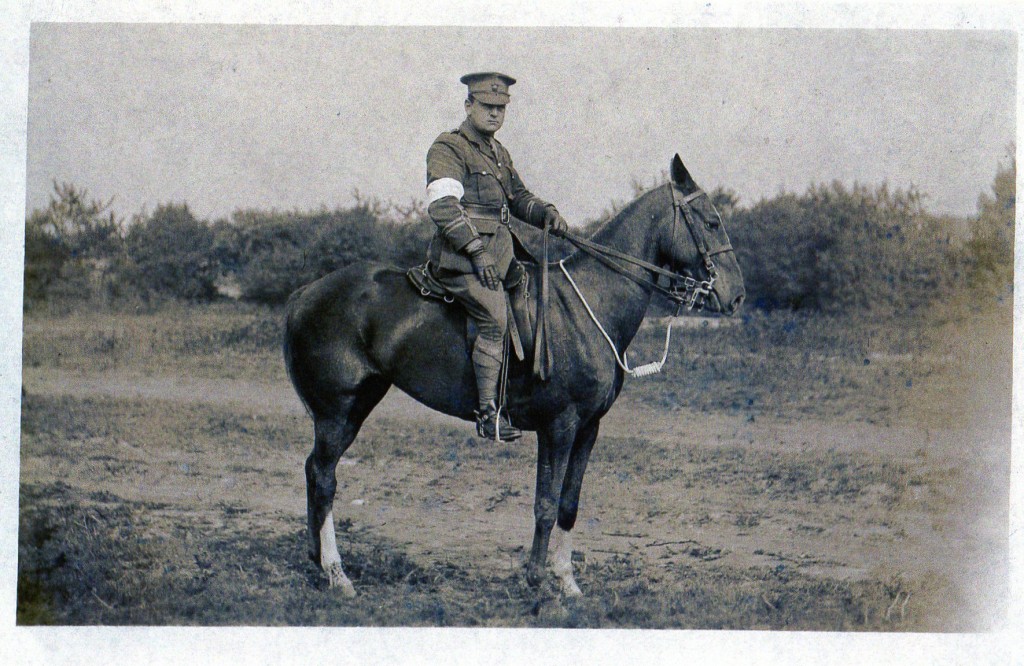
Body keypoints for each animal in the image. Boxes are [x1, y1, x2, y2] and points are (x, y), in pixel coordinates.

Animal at [284, 156, 741, 598]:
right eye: (711, 221)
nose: (735, 295)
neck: (589, 304)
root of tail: (305, 293)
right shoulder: (559, 426)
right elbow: (546, 502)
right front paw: (536, 579)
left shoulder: (588, 428)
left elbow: (569, 503)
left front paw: (567, 581)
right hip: (336, 411)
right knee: (324, 478)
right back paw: (337, 574)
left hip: (358, 404)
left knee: (313, 471)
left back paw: (317, 560)